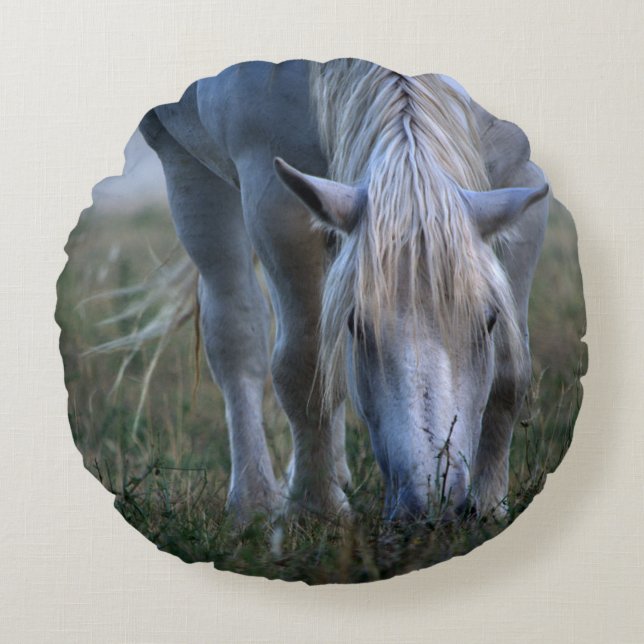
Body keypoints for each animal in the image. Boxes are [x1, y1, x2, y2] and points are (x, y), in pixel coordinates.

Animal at [137, 59, 549, 524]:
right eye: (357, 325)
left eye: (489, 321)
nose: (432, 506)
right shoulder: (275, 198)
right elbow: (304, 365)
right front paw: (316, 508)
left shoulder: (522, 180)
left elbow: (510, 374)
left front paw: (490, 507)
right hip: (185, 162)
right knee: (237, 334)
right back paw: (255, 501)